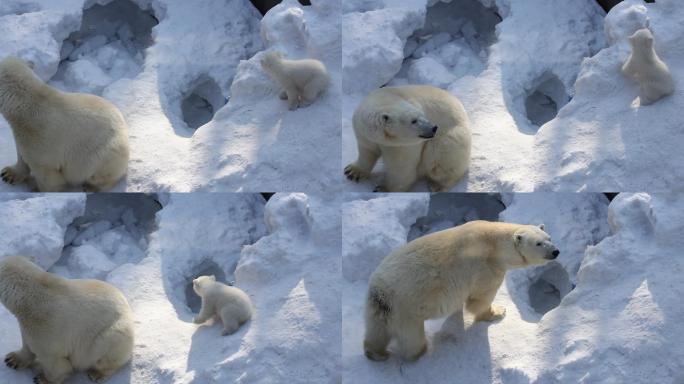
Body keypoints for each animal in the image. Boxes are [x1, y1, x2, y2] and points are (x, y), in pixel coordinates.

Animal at [0, 57, 130, 192]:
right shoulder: (23, 134)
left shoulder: (41, 138)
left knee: (101, 174)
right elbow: (21, 156)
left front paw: (38, 190)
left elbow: (47, 174)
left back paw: (91, 187)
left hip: (104, 154)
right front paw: (8, 174)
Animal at [0, 255, 134, 384]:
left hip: (111, 336)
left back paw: (97, 374)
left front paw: (43, 379)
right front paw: (12, 359)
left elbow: (54, 362)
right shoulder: (29, 324)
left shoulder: (47, 328)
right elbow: (27, 344)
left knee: (105, 352)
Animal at [344, 85, 472, 191]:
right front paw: (352, 172)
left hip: (452, 137)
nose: (434, 128)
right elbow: (367, 151)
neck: (386, 99)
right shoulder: (364, 133)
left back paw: (437, 185)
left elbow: (401, 166)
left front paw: (384, 188)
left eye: (423, 115)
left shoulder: (403, 145)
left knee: (439, 158)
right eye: (414, 121)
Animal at [366, 220, 560, 362]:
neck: (495, 244)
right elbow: (481, 297)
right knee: (410, 337)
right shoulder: (486, 267)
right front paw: (497, 312)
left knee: (376, 330)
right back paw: (419, 351)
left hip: (380, 308)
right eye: (538, 243)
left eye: (549, 238)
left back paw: (376, 353)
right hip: (406, 308)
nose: (555, 251)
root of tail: (380, 291)